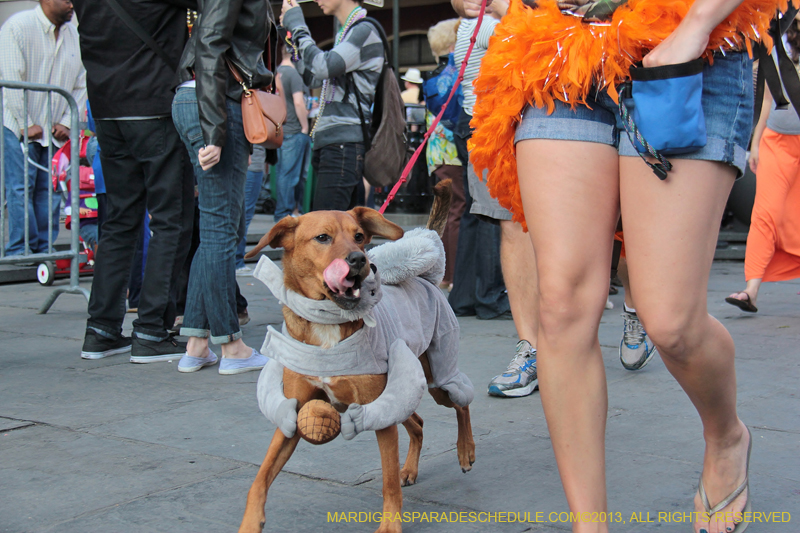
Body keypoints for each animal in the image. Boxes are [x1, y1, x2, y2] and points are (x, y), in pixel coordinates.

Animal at [239, 181, 476, 528]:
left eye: (360, 236)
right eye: (322, 237)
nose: (360, 259)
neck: (328, 326)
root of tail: (425, 279)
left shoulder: (377, 413)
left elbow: (387, 482)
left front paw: (390, 526)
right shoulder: (292, 412)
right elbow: (260, 477)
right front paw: (250, 521)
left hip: (436, 378)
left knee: (461, 402)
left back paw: (465, 450)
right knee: (418, 423)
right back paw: (410, 469)